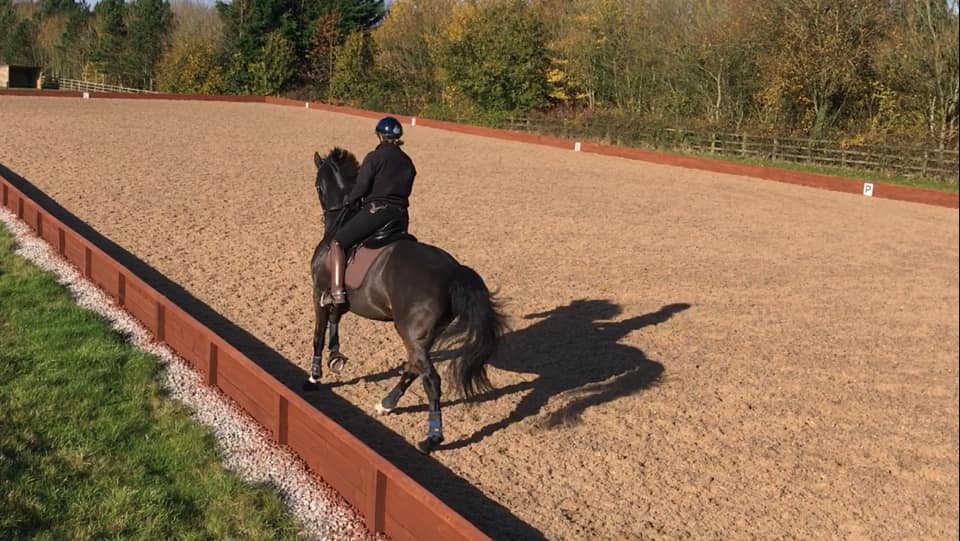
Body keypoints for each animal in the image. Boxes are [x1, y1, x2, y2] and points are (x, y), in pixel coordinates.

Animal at [310, 147, 510, 452]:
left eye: (318, 185)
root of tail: (454, 271)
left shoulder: (319, 292)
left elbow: (319, 334)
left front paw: (314, 375)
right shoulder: (340, 299)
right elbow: (335, 321)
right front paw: (336, 357)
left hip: (411, 332)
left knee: (431, 379)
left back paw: (432, 439)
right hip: (421, 335)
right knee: (414, 367)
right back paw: (386, 404)